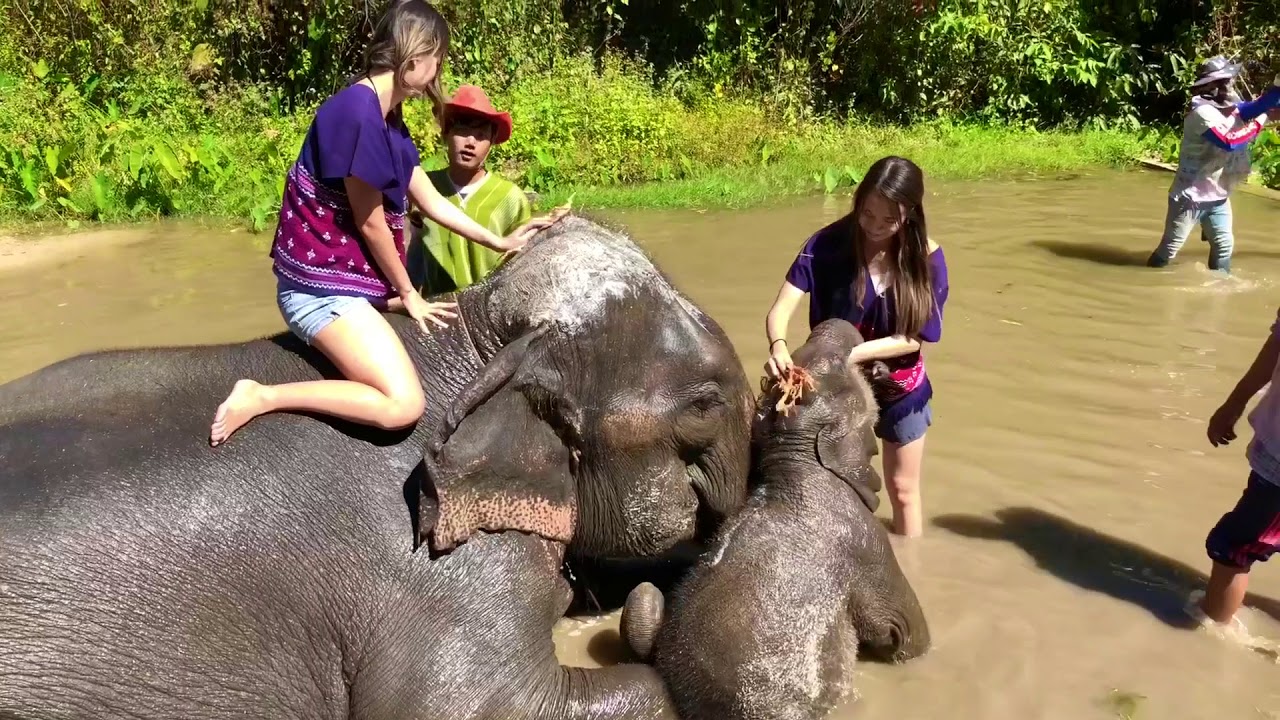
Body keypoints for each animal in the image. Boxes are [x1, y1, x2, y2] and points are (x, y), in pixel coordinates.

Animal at [620, 318, 930, 720]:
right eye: (835, 366)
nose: (834, 323)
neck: (793, 464)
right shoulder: (865, 540)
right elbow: (906, 632)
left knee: (644, 599)